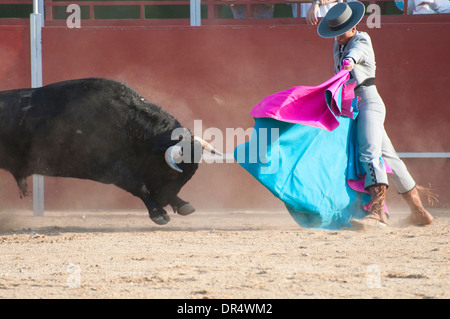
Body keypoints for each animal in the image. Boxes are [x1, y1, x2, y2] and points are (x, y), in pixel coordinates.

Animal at [0, 79, 220, 226]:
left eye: (190, 175)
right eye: (173, 174)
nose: (165, 201)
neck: (126, 125)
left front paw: (181, 204)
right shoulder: (108, 168)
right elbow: (139, 186)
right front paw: (158, 213)